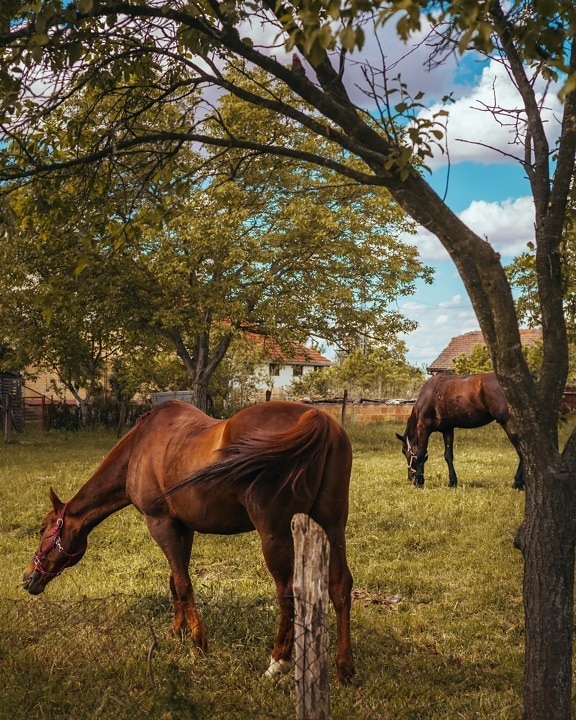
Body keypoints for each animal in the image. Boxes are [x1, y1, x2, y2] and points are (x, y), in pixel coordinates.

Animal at [23, 399, 355, 684]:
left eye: (42, 529)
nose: (28, 578)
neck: (138, 449)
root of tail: (319, 418)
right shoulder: (184, 528)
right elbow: (175, 581)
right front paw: (178, 631)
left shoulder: (160, 524)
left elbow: (183, 583)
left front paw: (198, 642)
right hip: (332, 524)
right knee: (340, 587)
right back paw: (344, 671)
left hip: (274, 533)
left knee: (287, 592)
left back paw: (278, 662)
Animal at [396, 372, 524, 489]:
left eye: (404, 451)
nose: (410, 477)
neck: (429, 394)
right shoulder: (447, 429)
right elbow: (448, 456)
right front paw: (452, 482)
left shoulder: (424, 427)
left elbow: (421, 453)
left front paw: (419, 481)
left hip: (508, 423)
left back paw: (517, 483)